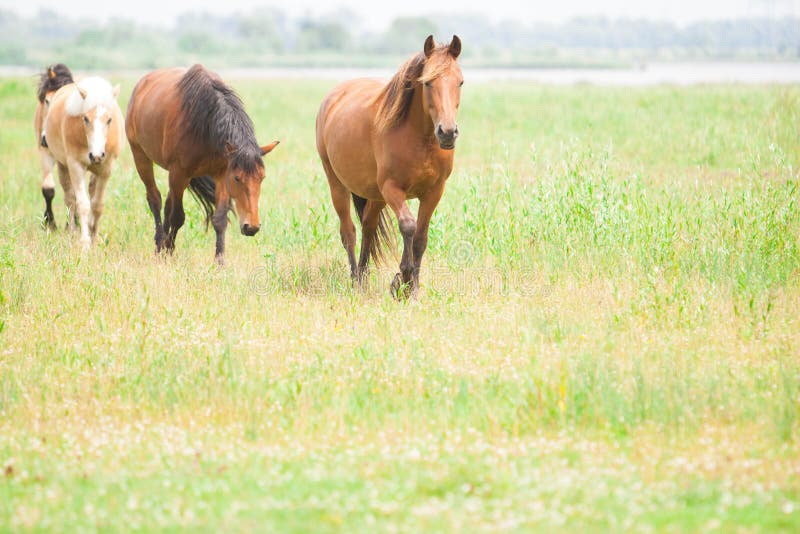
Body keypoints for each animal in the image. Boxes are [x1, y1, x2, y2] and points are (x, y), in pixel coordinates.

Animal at [42, 76, 124, 249]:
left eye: (109, 120)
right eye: (85, 118)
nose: (97, 155)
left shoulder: (106, 169)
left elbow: (97, 205)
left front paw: (94, 237)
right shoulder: (75, 166)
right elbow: (83, 204)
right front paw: (85, 243)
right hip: (63, 166)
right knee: (70, 199)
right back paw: (72, 231)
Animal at [125, 64, 279, 264]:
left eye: (262, 178)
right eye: (237, 178)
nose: (251, 227)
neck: (205, 123)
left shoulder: (221, 174)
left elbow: (219, 219)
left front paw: (220, 261)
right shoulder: (179, 173)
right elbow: (178, 217)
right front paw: (169, 249)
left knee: (167, 205)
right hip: (141, 156)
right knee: (155, 200)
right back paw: (160, 245)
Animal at [316, 35, 463, 298]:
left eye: (460, 82)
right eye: (427, 83)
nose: (447, 133)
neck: (419, 138)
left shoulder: (434, 192)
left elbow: (420, 237)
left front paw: (413, 288)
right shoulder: (392, 189)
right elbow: (408, 226)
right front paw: (403, 279)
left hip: (375, 195)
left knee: (368, 227)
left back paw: (363, 277)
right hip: (338, 184)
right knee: (349, 232)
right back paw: (355, 282)